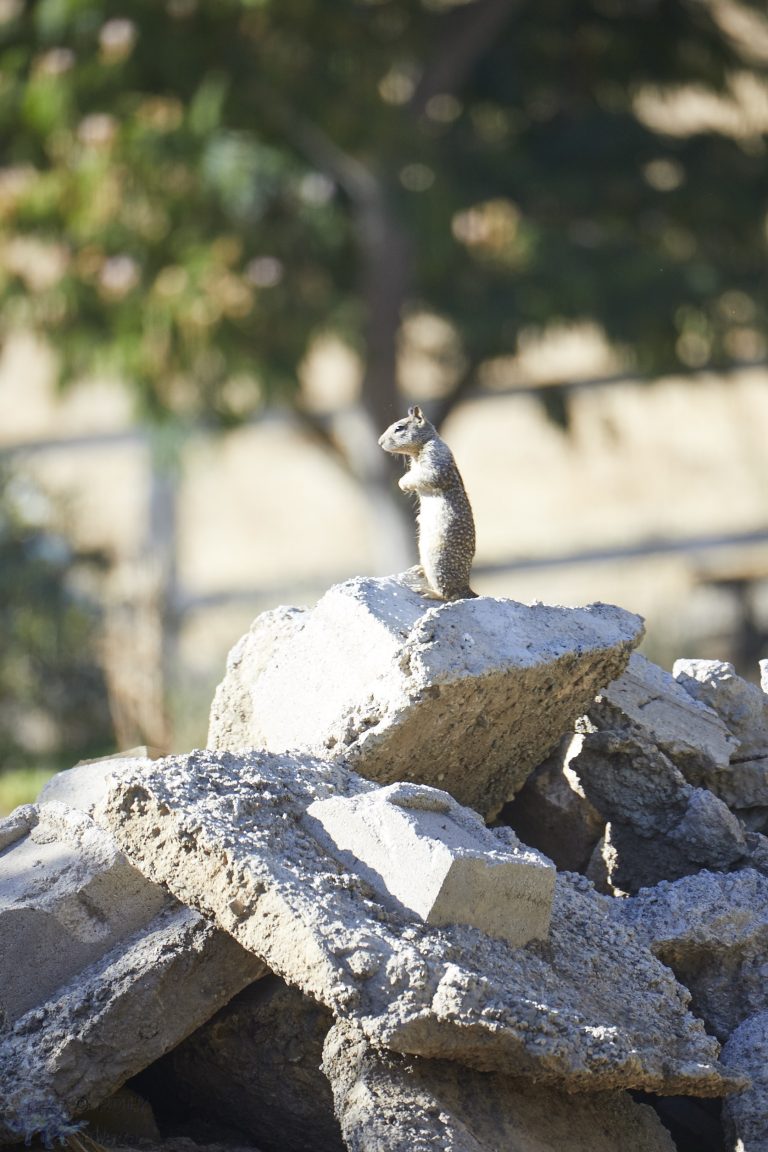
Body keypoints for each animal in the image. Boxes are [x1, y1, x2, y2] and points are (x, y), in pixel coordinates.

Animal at [378, 405, 477, 601]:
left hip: (438, 562)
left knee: (449, 595)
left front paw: (403, 483)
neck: (423, 445)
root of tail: (466, 587)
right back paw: (419, 569)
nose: (379, 442)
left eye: (399, 428)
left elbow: (426, 477)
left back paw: (428, 592)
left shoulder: (434, 461)